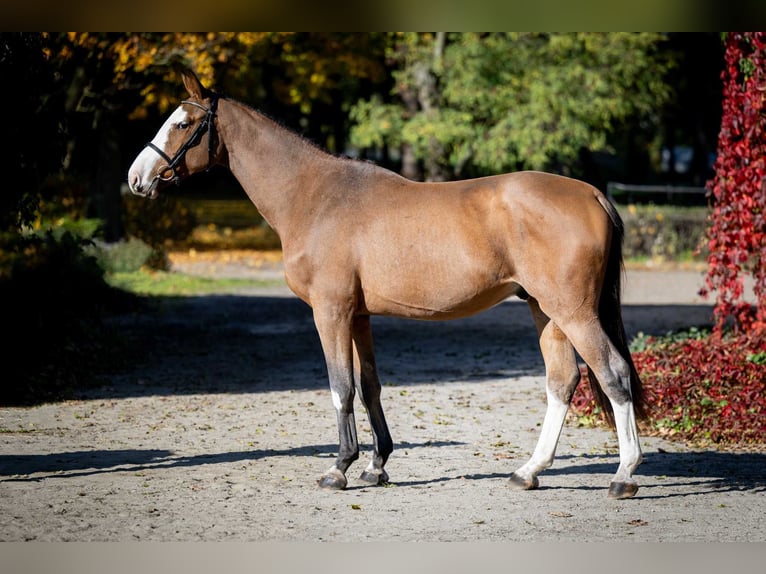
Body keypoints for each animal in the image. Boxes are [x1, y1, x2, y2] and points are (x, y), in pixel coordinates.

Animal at [129, 71, 644, 500]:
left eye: (182, 123)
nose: (136, 178)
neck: (315, 196)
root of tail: (591, 192)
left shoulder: (330, 311)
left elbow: (341, 387)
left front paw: (338, 468)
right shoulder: (358, 315)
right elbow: (370, 385)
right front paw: (375, 466)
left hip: (573, 311)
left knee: (613, 374)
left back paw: (623, 475)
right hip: (546, 310)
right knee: (563, 380)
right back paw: (528, 471)